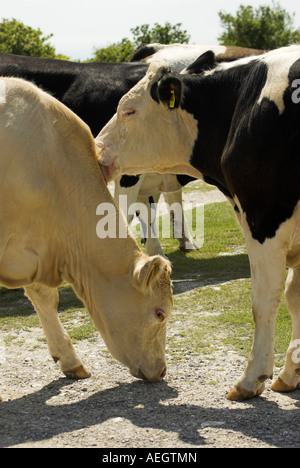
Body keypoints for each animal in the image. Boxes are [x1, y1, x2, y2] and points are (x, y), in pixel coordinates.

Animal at [96, 45, 300, 400]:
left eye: (129, 111)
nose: (96, 147)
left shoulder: (264, 215)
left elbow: (266, 299)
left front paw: (253, 379)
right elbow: (294, 296)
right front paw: (291, 373)